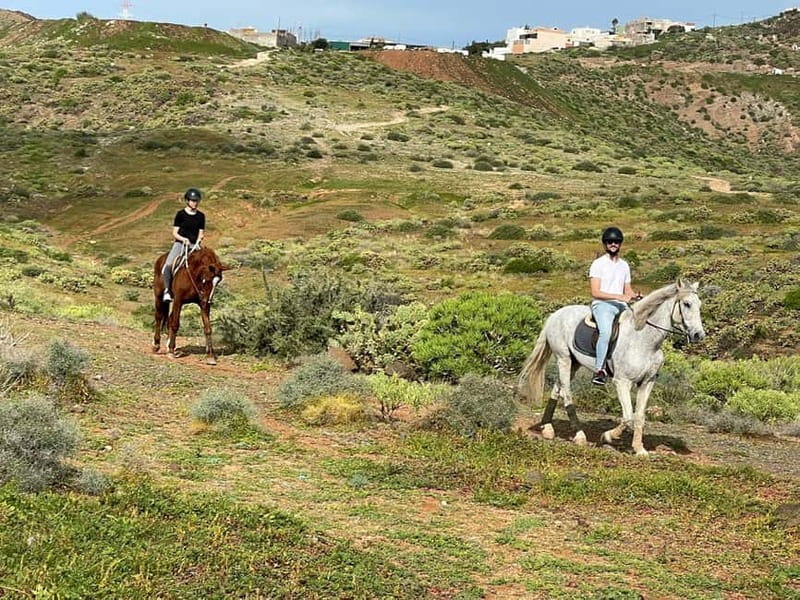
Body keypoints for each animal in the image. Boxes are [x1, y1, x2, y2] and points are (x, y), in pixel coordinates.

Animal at [518, 279, 705, 456]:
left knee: (558, 388)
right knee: (567, 393)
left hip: (573, 363)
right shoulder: (622, 382)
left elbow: (639, 417)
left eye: (699, 304)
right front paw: (607, 437)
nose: (699, 335)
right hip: (563, 359)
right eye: (687, 304)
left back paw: (547, 428)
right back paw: (579, 435)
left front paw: (639, 449)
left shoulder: (647, 382)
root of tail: (556, 314)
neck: (644, 340)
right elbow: (628, 417)